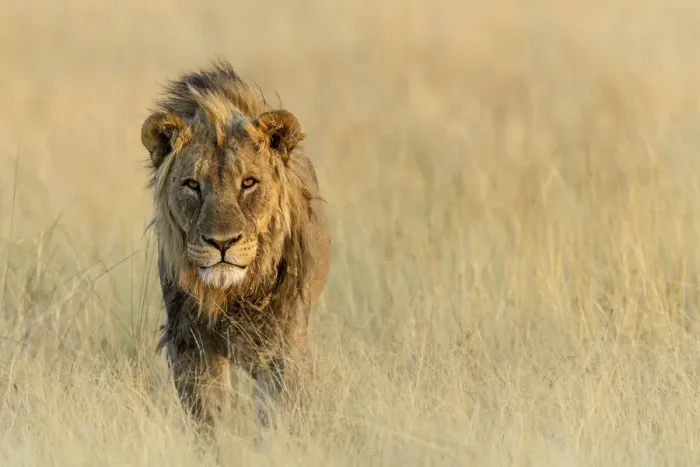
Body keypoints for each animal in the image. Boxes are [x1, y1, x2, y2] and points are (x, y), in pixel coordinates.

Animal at [140, 60, 331, 432]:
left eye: (248, 183)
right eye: (192, 185)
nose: (222, 242)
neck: (230, 295)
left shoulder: (283, 345)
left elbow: (278, 416)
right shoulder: (191, 345)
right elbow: (208, 419)